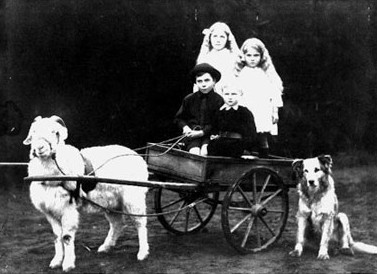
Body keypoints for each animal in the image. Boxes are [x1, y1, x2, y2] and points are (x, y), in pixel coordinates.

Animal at [22, 115, 150, 272]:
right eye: (33, 132)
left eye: (54, 132)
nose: (39, 148)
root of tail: (137, 156)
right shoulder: (50, 212)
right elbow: (57, 236)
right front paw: (56, 261)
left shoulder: (68, 209)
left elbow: (66, 237)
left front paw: (68, 264)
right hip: (111, 202)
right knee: (117, 224)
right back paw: (106, 247)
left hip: (133, 198)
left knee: (140, 223)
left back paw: (142, 253)